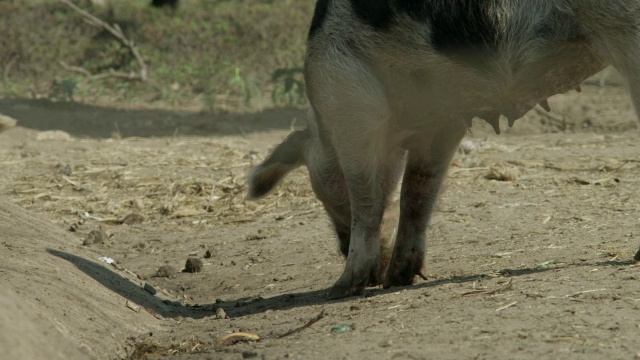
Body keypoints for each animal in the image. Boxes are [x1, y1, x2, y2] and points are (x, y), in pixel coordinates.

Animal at [246, 0, 640, 298]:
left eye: (322, 193)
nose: (341, 249)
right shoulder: (442, 119)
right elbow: (418, 189)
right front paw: (398, 279)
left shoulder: (349, 103)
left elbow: (367, 200)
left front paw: (341, 288)